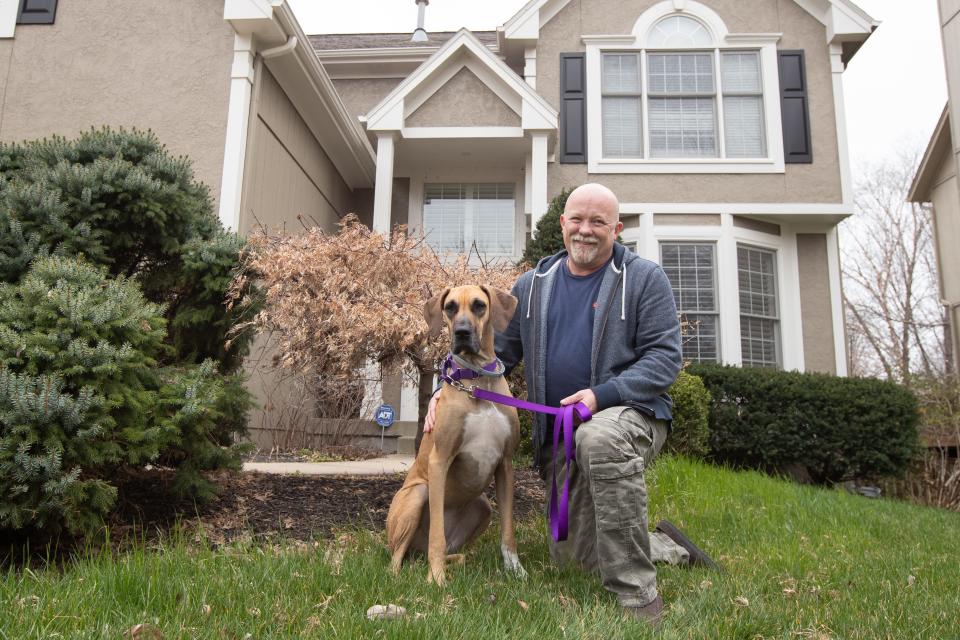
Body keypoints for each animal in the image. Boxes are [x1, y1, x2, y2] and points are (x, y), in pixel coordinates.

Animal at [384, 284, 524, 584]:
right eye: (449, 307)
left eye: (479, 305)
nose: (461, 332)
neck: (476, 380)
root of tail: (415, 551)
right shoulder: (440, 460)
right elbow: (437, 533)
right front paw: (436, 578)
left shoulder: (506, 464)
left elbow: (508, 529)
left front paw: (516, 570)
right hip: (417, 494)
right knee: (398, 557)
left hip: (483, 507)